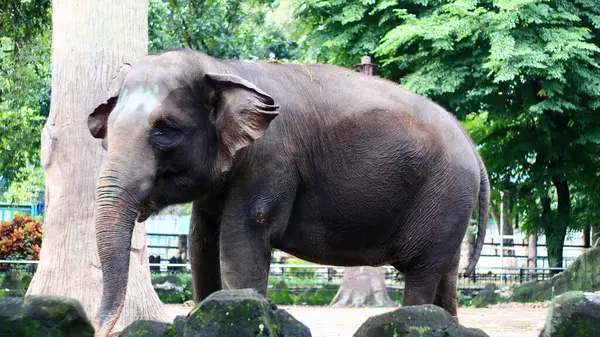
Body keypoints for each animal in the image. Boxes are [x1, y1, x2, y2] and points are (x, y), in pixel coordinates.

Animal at [88, 48, 488, 334]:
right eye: (107, 130)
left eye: (165, 130)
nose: (100, 329)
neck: (223, 68)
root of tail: (472, 147)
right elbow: (202, 243)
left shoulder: (272, 161)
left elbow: (240, 243)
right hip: (451, 206)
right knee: (445, 278)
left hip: (444, 196)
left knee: (422, 276)